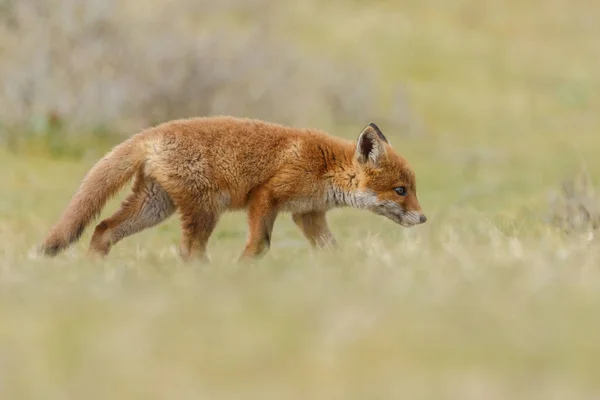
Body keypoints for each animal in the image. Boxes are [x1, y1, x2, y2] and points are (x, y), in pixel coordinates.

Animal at [38, 115, 426, 262]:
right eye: (401, 190)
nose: (423, 219)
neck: (325, 167)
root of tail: (151, 133)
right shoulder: (265, 197)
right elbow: (260, 245)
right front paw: (242, 272)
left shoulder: (308, 213)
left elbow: (331, 249)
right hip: (205, 208)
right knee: (190, 251)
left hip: (154, 207)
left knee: (102, 229)